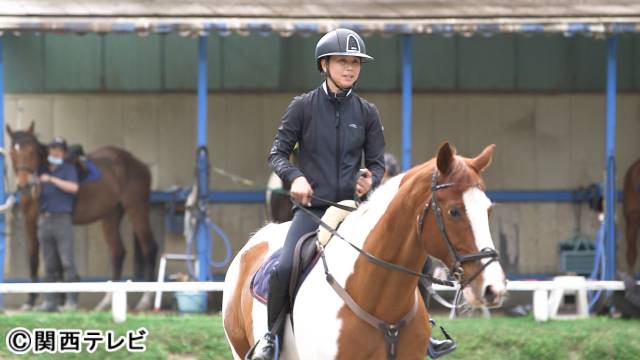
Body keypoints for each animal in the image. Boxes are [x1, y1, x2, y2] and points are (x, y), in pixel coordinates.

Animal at [7, 123, 159, 310]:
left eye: (31, 151)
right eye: (12, 153)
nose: (24, 185)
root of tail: (139, 164)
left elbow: (56, 261)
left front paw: (59, 300)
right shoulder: (30, 221)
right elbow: (34, 258)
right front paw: (34, 301)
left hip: (137, 208)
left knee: (149, 248)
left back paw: (145, 300)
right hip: (111, 215)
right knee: (117, 252)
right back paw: (106, 302)